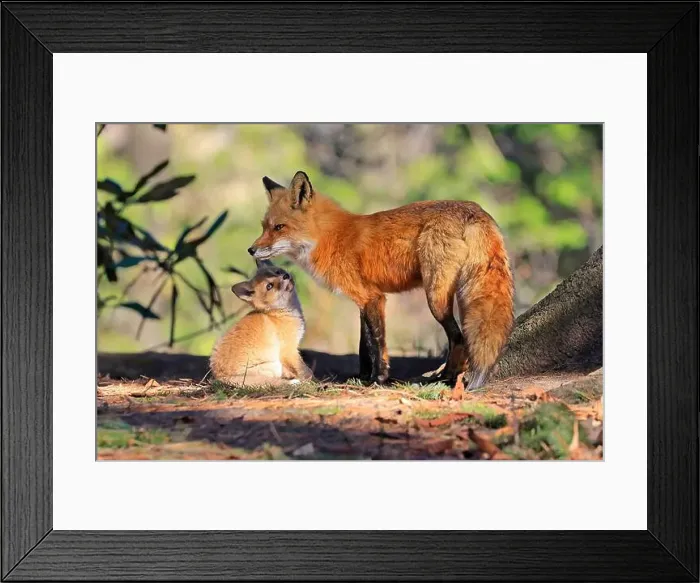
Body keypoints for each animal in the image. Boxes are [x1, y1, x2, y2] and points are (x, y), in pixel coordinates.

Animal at [209, 258, 313, 386]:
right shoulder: (289, 350)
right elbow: (306, 371)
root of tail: (220, 376)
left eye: (277, 272)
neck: (277, 314)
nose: (285, 276)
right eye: (269, 286)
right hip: (274, 365)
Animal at [248, 170, 514, 389]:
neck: (330, 238)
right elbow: (364, 345)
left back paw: (445, 378)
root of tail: (475, 210)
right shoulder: (363, 300)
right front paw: (362, 378)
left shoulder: (374, 298)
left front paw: (379, 379)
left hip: (435, 298)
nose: (251, 250)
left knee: (457, 337)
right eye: (263, 227)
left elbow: (378, 343)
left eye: (279, 227)